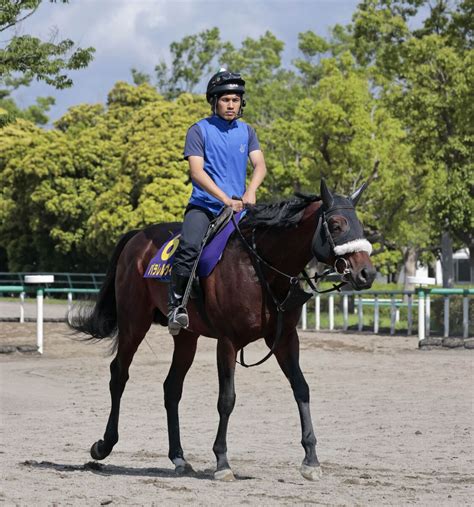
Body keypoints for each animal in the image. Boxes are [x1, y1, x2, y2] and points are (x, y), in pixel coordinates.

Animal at [70, 181, 376, 482]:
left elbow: (301, 388)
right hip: (134, 322)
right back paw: (104, 445)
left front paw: (311, 459)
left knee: (172, 387)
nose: (367, 273)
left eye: (358, 224)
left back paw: (179, 457)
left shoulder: (285, 339)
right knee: (119, 374)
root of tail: (137, 238)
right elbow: (227, 399)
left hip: (186, 336)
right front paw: (222, 461)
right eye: (335, 225)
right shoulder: (228, 342)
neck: (259, 265)